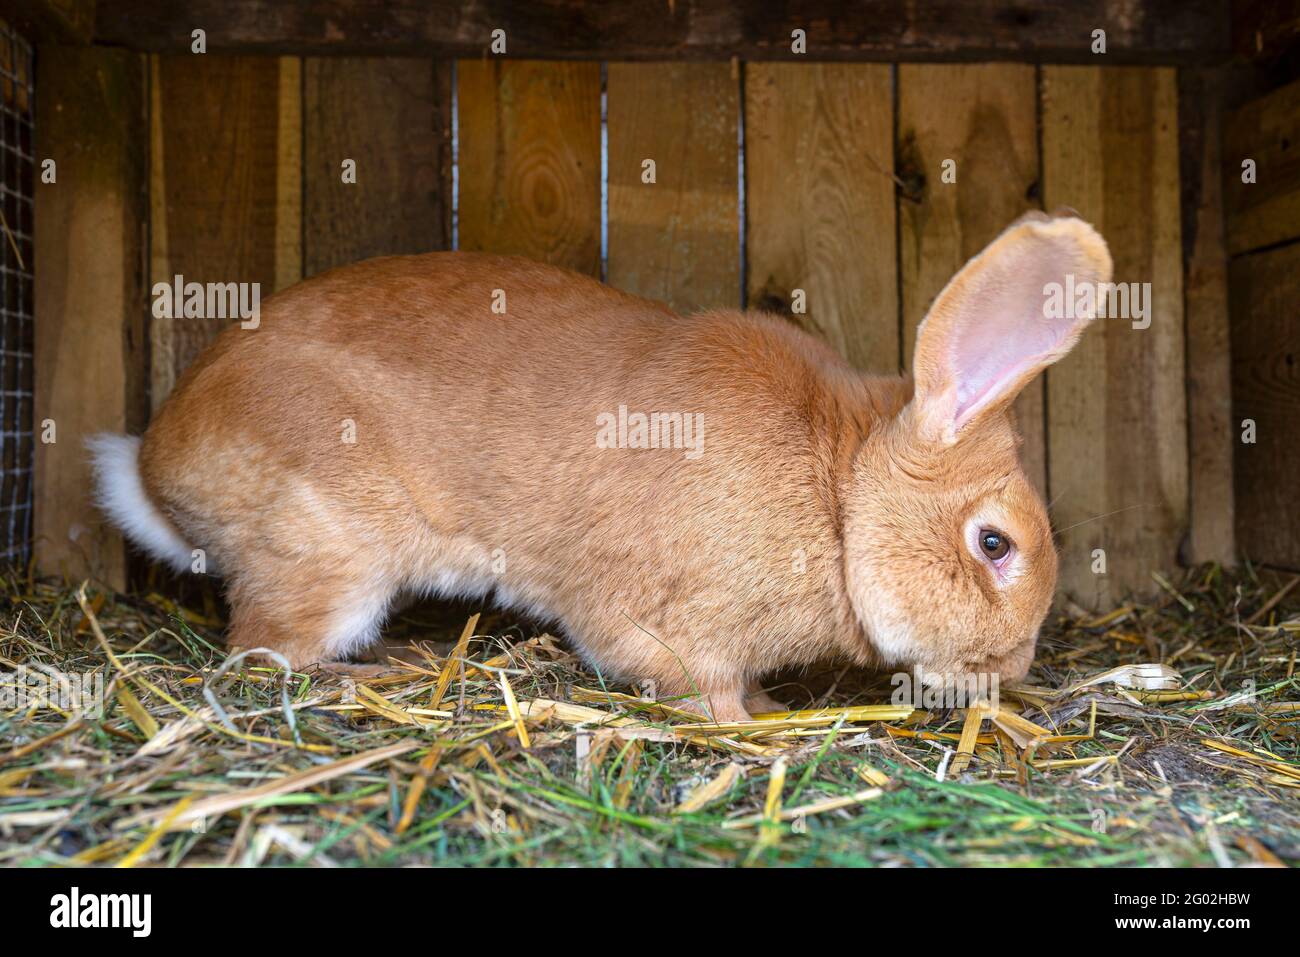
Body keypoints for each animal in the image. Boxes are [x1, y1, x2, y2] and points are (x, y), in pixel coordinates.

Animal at [89, 210, 1111, 722]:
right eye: (994, 544)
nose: (1015, 665)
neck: (839, 492)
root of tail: (157, 463)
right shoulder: (663, 620)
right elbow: (693, 683)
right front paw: (755, 727)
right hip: (329, 550)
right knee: (266, 648)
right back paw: (372, 674)